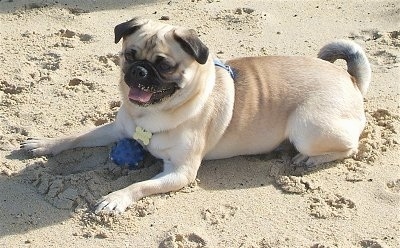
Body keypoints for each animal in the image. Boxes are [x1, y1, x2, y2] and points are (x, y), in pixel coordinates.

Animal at [21, 17, 372, 213]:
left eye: (164, 65)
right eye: (128, 55)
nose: (139, 71)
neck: (151, 114)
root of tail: (350, 79)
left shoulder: (180, 172)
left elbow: (141, 186)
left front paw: (116, 197)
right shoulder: (118, 130)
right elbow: (76, 137)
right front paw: (44, 144)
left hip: (307, 127)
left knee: (348, 148)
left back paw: (307, 159)